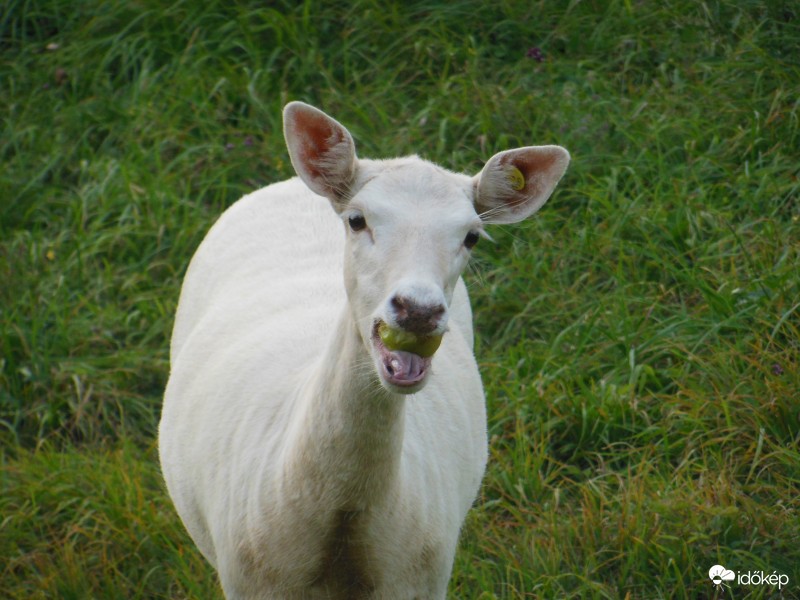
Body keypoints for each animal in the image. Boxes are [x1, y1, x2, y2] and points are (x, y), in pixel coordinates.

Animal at [158, 101, 568, 596]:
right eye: (358, 220)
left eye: (471, 236)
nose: (418, 310)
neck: (345, 519)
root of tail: (292, 183)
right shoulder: (250, 578)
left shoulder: (422, 578)